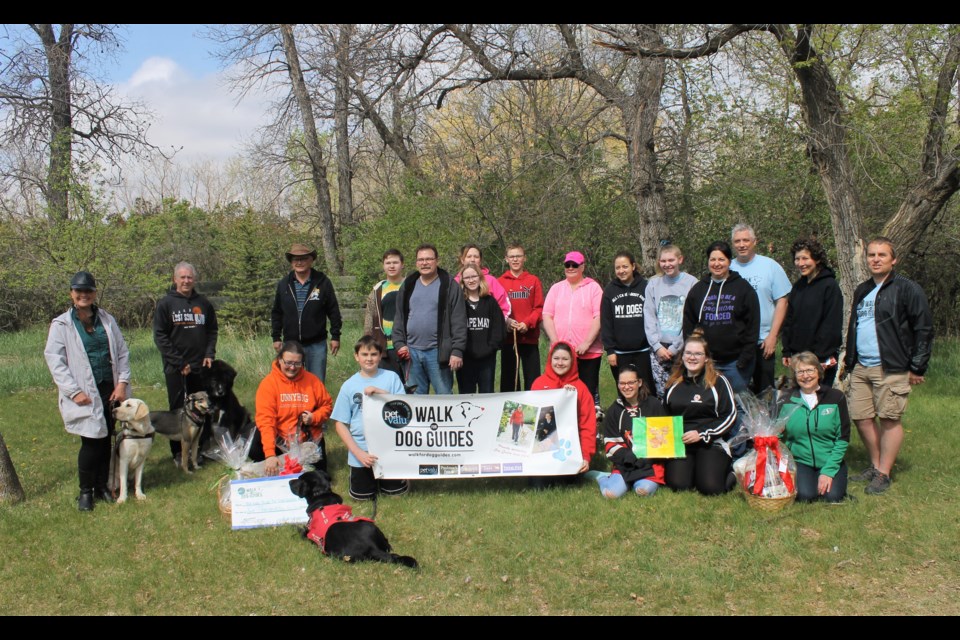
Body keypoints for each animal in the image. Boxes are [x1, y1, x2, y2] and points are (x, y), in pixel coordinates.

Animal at [286, 468, 418, 568]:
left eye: (299, 479)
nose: (289, 481)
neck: (322, 494)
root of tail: (371, 547)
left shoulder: (308, 532)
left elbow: (300, 530)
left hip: (337, 554)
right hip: (371, 525)